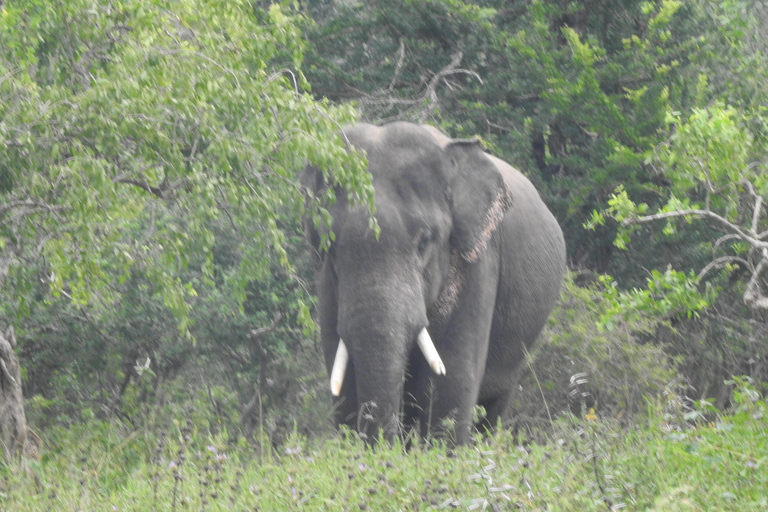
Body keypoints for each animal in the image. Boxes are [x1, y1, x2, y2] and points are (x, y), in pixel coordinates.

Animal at [301, 122, 566, 445]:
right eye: (331, 247)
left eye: (425, 241)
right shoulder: (326, 282)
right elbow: (345, 381)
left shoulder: (477, 262)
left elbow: (451, 383)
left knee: (495, 406)